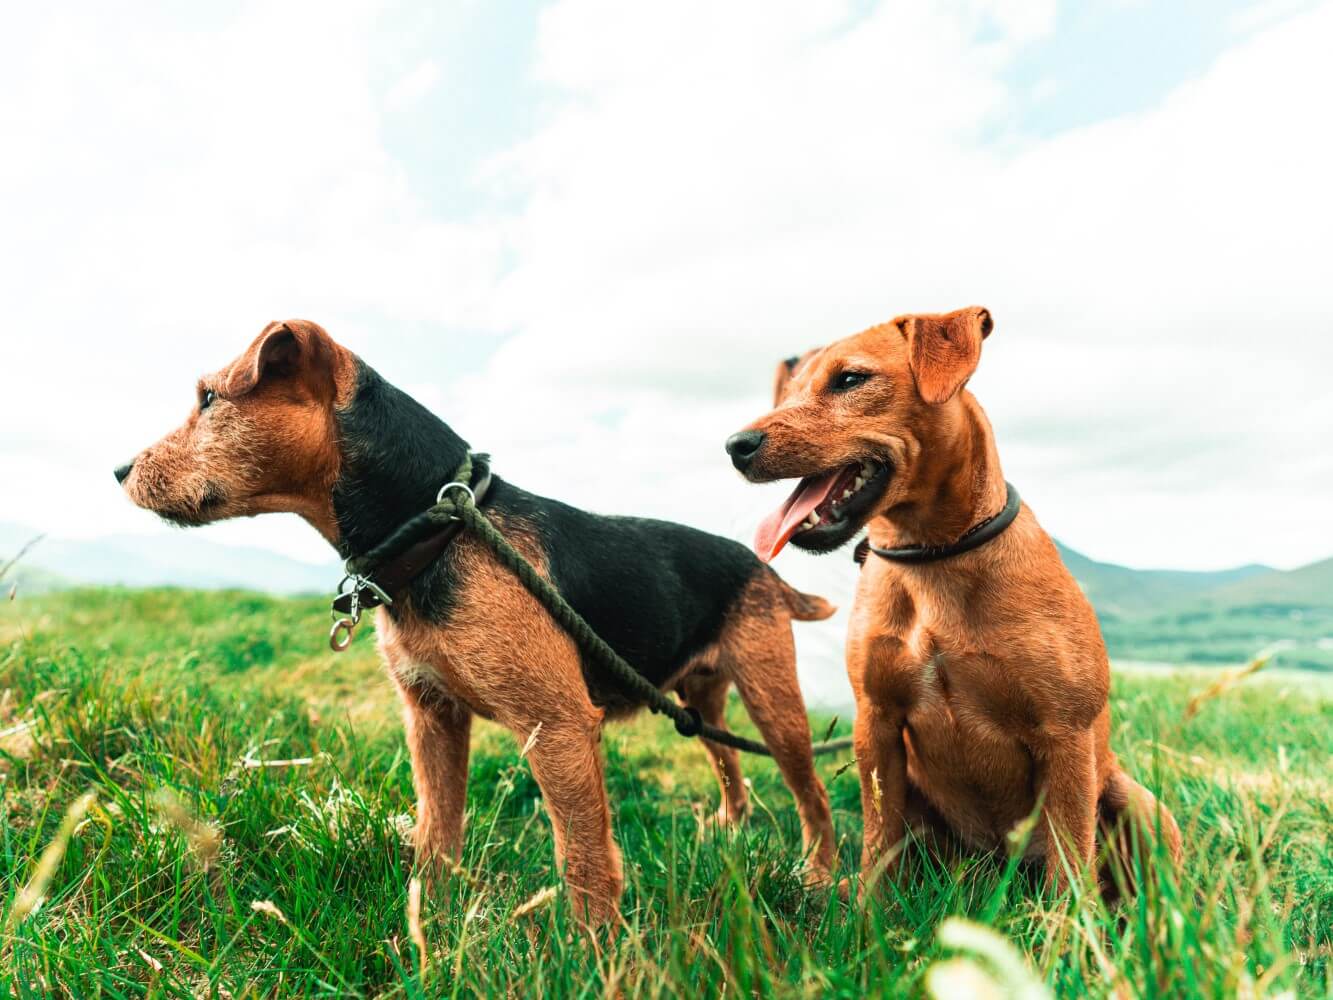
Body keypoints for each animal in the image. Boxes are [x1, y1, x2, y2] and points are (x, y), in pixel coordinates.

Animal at [119, 321, 837, 922]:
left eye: (209, 398)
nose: (120, 469)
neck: (437, 530)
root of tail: (761, 566)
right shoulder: (432, 714)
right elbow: (437, 834)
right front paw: (429, 925)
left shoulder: (558, 728)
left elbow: (583, 860)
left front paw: (596, 956)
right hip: (699, 699)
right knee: (729, 765)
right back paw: (729, 831)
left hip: (773, 702)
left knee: (814, 796)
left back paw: (819, 876)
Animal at [730, 309, 1178, 896]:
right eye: (788, 391)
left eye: (849, 379)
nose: (735, 445)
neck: (932, 558)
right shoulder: (877, 725)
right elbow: (878, 846)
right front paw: (867, 913)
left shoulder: (1066, 736)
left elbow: (1069, 867)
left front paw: (1066, 925)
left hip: (1139, 802)